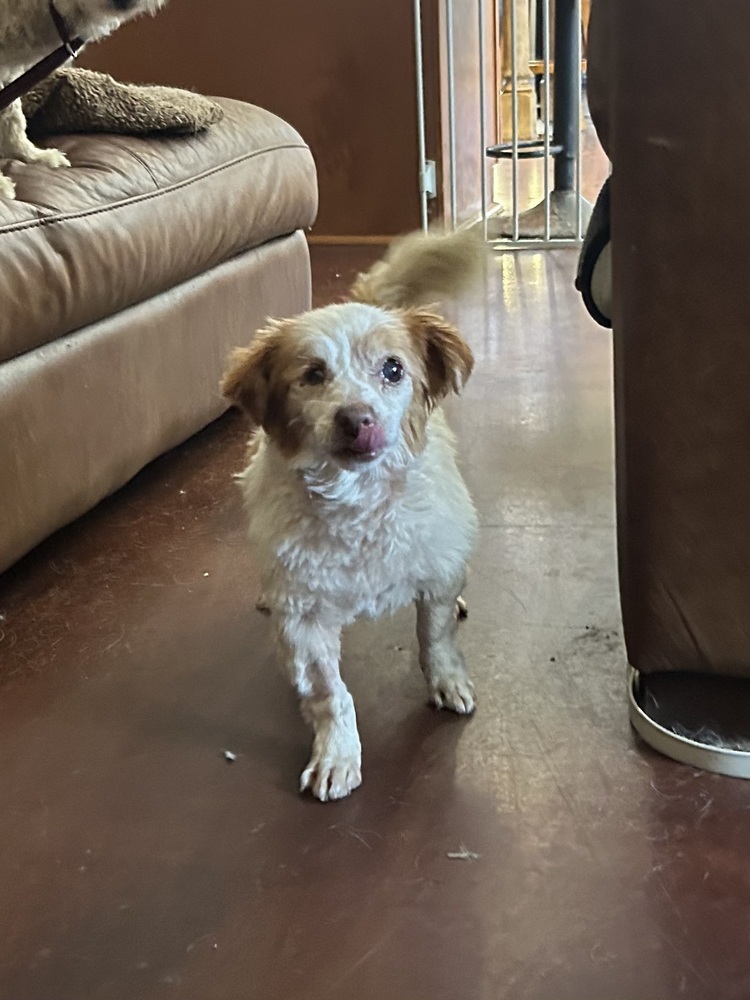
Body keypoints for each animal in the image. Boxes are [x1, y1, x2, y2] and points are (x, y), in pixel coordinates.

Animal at [220, 230, 484, 800]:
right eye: (313, 375)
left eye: (393, 369)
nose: (356, 419)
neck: (358, 503)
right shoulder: (305, 620)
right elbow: (330, 694)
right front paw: (337, 754)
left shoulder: (434, 571)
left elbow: (435, 637)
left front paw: (447, 680)